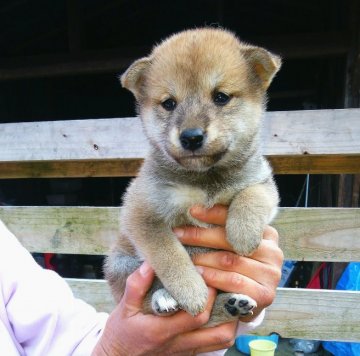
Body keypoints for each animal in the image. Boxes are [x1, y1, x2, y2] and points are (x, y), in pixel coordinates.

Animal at [104, 27, 282, 326]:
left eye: (221, 97)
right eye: (169, 103)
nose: (191, 137)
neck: (205, 180)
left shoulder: (262, 181)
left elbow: (252, 195)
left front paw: (243, 233)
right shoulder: (143, 213)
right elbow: (170, 255)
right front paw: (191, 291)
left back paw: (234, 303)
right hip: (123, 264)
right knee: (146, 298)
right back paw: (164, 298)